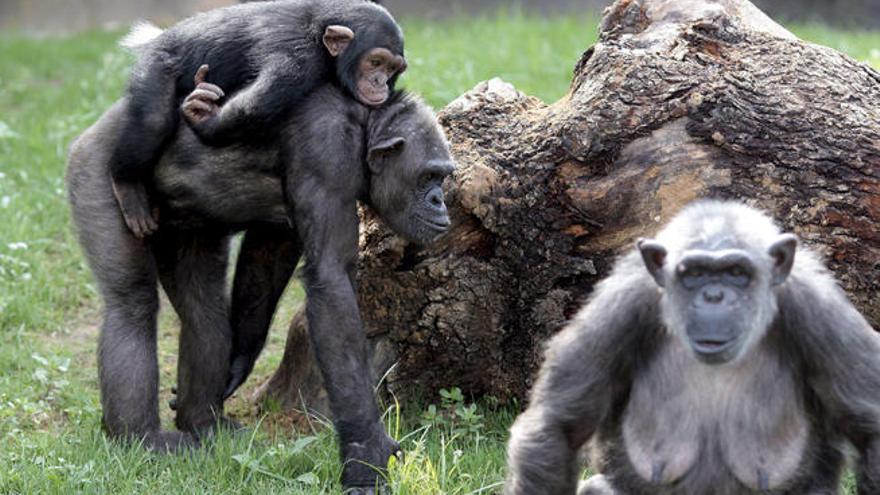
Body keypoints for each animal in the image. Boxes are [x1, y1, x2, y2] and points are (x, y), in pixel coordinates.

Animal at [67, 73, 454, 492]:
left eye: (443, 176)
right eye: (428, 176)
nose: (440, 200)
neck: (363, 127)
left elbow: (270, 250)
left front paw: (237, 365)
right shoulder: (326, 152)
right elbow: (332, 282)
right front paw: (365, 453)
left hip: (186, 228)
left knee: (204, 311)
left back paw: (204, 423)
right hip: (98, 174)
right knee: (132, 306)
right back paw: (141, 438)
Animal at [111, 0, 410, 240]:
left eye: (392, 68)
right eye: (375, 62)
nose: (380, 82)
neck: (321, 41)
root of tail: (157, 38)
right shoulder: (297, 61)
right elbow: (256, 104)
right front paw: (204, 118)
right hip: (156, 65)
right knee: (152, 120)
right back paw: (127, 186)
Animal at [506, 202, 880, 495]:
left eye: (737, 272)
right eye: (694, 273)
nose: (714, 296)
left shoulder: (823, 316)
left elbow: (871, 430)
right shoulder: (617, 310)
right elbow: (559, 428)